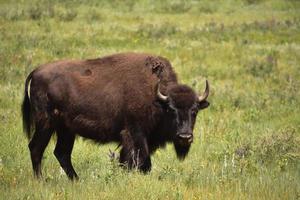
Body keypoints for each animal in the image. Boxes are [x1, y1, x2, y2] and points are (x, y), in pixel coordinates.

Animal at [21, 52, 209, 180]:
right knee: (36, 148)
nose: (184, 137)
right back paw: (41, 180)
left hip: (66, 130)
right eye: (171, 110)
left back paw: (76, 180)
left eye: (195, 111)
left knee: (61, 153)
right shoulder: (135, 134)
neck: (156, 97)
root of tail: (36, 71)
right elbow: (141, 162)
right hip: (45, 124)